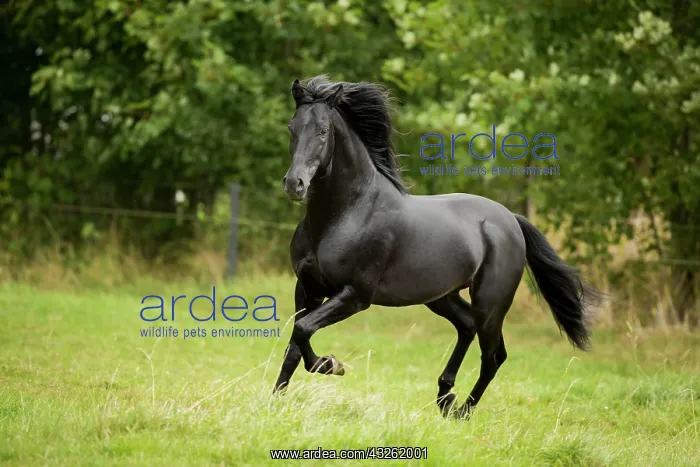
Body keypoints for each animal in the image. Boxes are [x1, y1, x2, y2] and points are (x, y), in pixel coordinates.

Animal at [273, 75, 600, 419]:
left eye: (323, 130)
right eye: (292, 127)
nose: (294, 184)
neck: (347, 213)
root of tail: (510, 219)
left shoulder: (355, 295)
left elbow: (303, 330)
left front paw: (332, 364)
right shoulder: (307, 287)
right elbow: (294, 344)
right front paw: (275, 401)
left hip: (490, 304)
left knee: (493, 356)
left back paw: (461, 411)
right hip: (442, 296)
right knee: (467, 327)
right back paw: (445, 395)